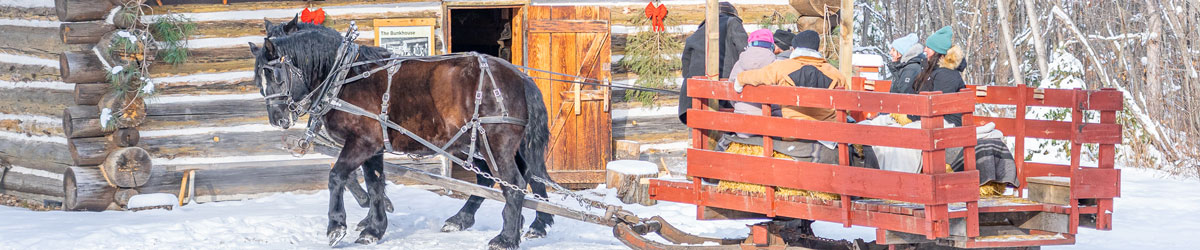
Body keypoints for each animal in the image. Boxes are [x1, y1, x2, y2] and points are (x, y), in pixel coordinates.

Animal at [252, 22, 556, 248]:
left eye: (275, 75)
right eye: (257, 81)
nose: (278, 119)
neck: (344, 75)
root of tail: (519, 75)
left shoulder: (361, 142)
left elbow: (337, 176)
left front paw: (336, 227)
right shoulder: (373, 146)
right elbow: (375, 184)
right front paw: (373, 229)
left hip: (495, 142)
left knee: (514, 183)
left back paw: (507, 237)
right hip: (478, 144)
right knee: (505, 178)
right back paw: (475, 220)